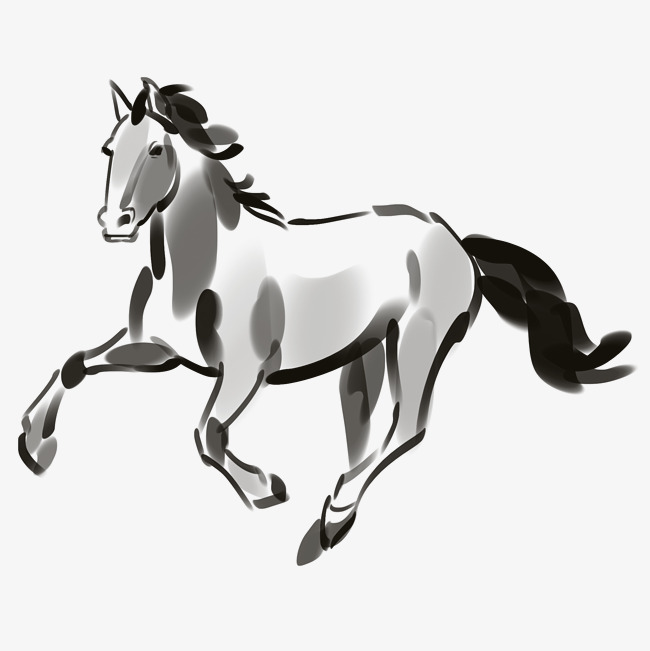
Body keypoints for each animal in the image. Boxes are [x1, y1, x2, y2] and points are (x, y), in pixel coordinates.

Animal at [19, 78, 633, 564]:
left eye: (154, 149)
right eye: (108, 148)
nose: (115, 222)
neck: (202, 267)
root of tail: (456, 240)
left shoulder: (245, 371)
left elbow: (208, 432)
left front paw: (266, 488)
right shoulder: (155, 350)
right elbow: (74, 366)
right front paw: (34, 447)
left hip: (418, 343)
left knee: (408, 426)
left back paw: (331, 518)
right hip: (368, 355)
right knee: (366, 431)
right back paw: (337, 512)